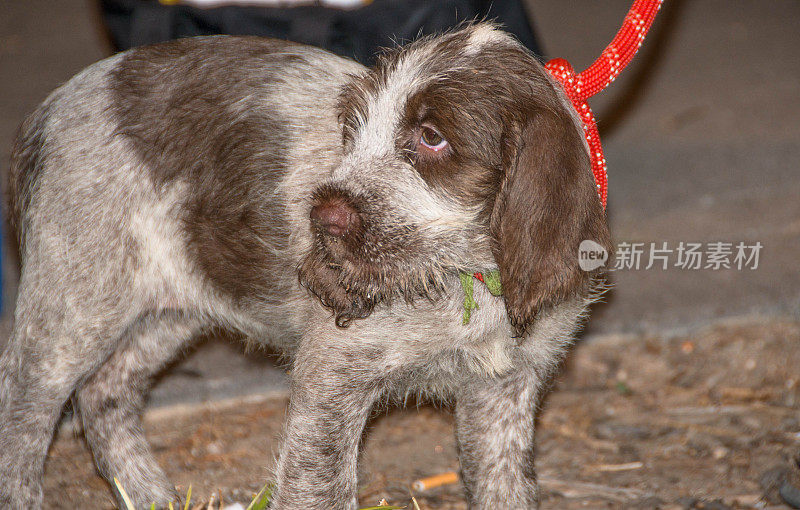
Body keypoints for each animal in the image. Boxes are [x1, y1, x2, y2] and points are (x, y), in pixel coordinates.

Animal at [1, 23, 612, 510]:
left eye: (432, 137)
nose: (324, 217)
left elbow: (506, 487)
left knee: (106, 391)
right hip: (75, 300)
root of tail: (50, 111)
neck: (467, 272)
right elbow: (318, 488)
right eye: (353, 128)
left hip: (174, 303)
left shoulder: (505, 392)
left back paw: (151, 495)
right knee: (24, 406)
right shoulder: (334, 377)